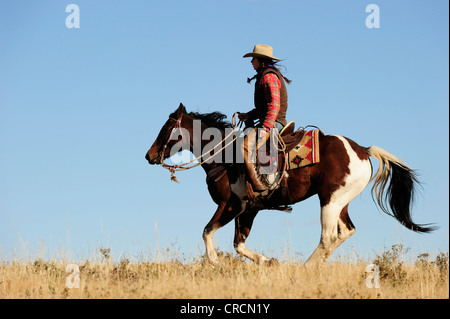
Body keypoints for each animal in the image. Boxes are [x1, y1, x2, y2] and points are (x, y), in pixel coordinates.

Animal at [144, 104, 432, 266]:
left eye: (166, 128)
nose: (149, 155)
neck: (225, 157)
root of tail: (362, 149)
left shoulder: (232, 205)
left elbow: (207, 231)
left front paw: (214, 261)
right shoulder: (249, 210)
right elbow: (238, 244)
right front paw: (267, 261)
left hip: (329, 200)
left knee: (328, 236)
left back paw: (307, 267)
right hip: (341, 201)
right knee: (346, 231)